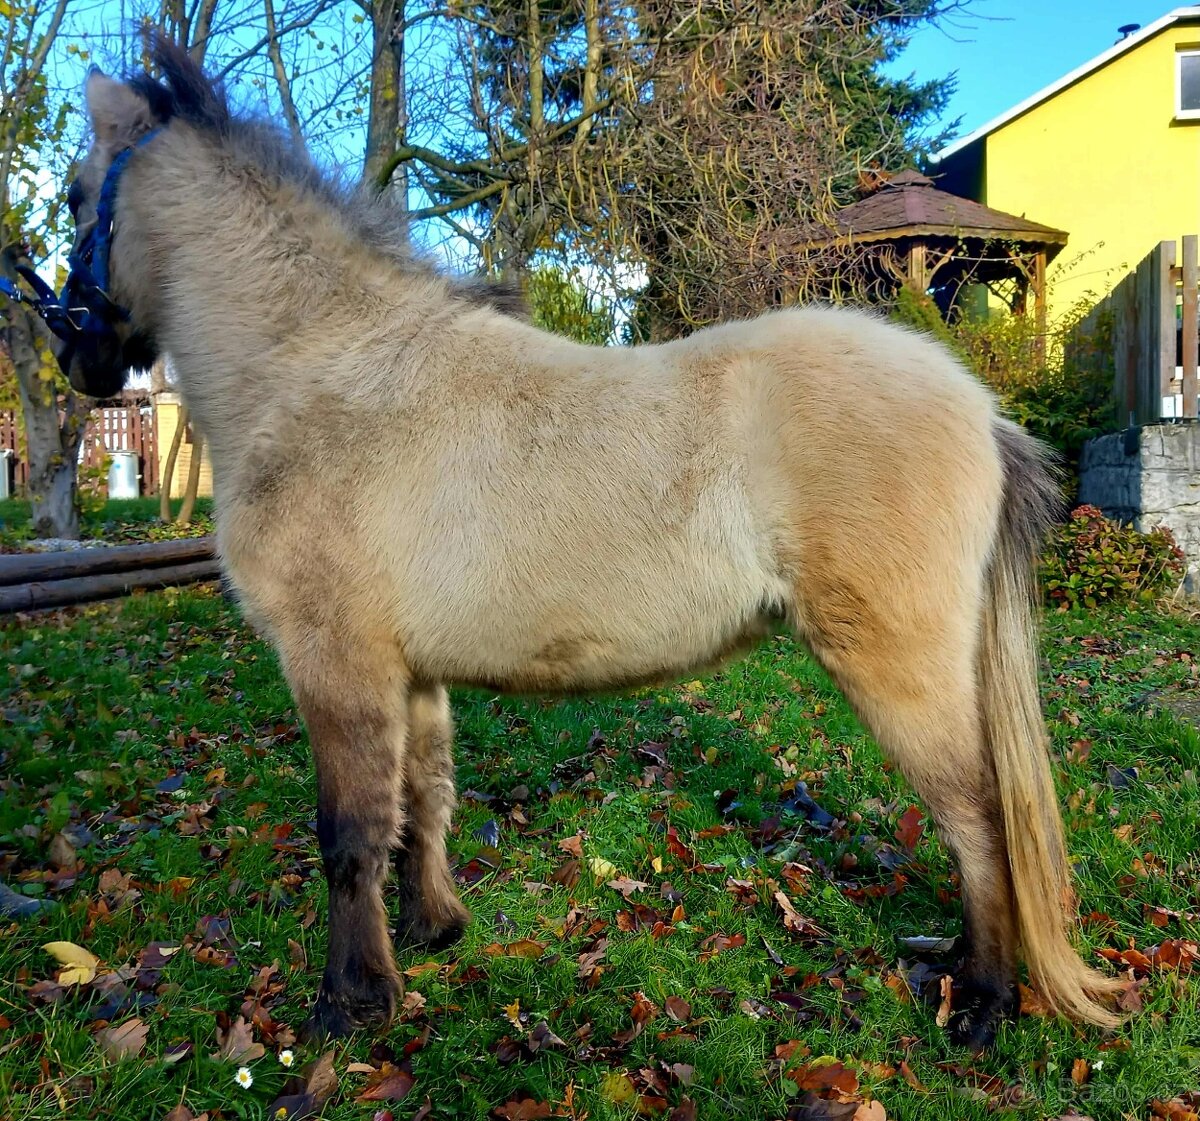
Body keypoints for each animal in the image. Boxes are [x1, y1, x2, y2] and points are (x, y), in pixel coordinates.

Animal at [54, 37, 1121, 1048]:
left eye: (72, 195)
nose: (75, 356)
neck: (322, 373)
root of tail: (979, 409)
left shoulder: (336, 665)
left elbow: (349, 834)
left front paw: (350, 1003)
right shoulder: (411, 676)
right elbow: (422, 801)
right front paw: (435, 931)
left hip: (901, 670)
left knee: (979, 820)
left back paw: (983, 1002)